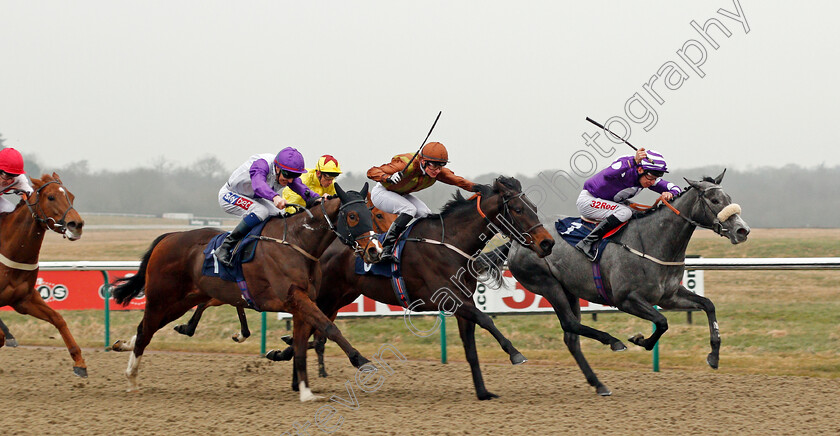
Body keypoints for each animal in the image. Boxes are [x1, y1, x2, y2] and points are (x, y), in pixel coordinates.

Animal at [0, 174, 86, 378]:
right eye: (51, 197)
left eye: (72, 196)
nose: (76, 225)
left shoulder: (24, 299)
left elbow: (58, 318)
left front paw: (79, 362)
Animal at [110, 183, 382, 402]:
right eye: (353, 216)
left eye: (371, 214)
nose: (374, 250)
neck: (297, 242)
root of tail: (169, 237)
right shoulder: (296, 298)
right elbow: (328, 328)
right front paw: (361, 361)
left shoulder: (302, 302)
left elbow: (302, 344)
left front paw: (306, 392)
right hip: (161, 297)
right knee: (145, 331)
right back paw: (131, 377)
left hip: (182, 301)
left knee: (146, 329)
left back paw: (125, 345)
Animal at [272, 175, 556, 400]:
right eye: (517, 209)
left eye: (533, 207)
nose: (547, 243)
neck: (451, 243)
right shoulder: (450, 299)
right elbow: (487, 320)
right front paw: (515, 353)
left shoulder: (463, 304)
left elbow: (471, 349)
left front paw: (483, 392)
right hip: (324, 295)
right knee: (308, 326)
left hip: (340, 297)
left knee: (311, 329)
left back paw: (291, 368)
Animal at [506, 170, 748, 396]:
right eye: (715, 200)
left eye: (728, 197)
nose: (742, 230)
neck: (652, 240)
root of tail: (518, 241)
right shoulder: (626, 299)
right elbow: (662, 321)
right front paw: (640, 340)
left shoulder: (668, 296)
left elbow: (708, 305)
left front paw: (714, 356)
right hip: (548, 285)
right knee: (569, 324)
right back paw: (613, 342)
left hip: (569, 290)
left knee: (571, 337)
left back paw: (599, 384)